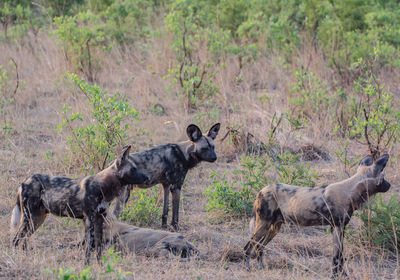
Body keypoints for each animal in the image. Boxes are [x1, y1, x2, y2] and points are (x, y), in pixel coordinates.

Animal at [11, 145, 148, 264]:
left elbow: (98, 248)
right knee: (16, 239)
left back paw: (26, 257)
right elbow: (89, 249)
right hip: (29, 217)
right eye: (133, 169)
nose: (146, 177)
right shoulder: (89, 220)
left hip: (37, 219)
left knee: (24, 239)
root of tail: (25, 181)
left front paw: (100, 267)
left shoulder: (100, 219)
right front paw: (86, 266)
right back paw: (16, 259)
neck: (103, 186)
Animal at [244, 153, 390, 278]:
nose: (389, 185)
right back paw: (248, 268)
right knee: (249, 247)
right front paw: (334, 276)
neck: (351, 190)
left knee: (259, 247)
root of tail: (261, 190)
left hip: (274, 228)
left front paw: (343, 275)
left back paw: (262, 268)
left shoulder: (339, 228)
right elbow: (337, 257)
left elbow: (340, 257)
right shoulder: (337, 227)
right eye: (383, 178)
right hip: (263, 225)